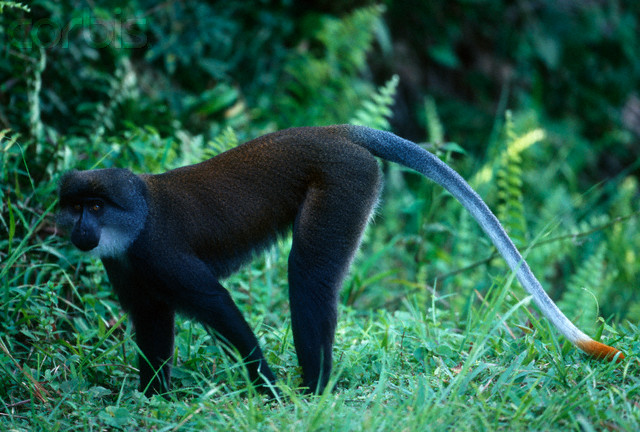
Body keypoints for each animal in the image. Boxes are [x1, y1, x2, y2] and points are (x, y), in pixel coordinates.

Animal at [56, 124, 624, 394]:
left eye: (96, 207)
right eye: (76, 206)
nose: (81, 229)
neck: (135, 219)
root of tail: (336, 132)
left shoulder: (160, 252)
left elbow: (216, 303)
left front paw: (268, 391)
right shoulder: (128, 268)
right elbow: (151, 322)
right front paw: (154, 398)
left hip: (345, 183)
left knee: (308, 277)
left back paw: (314, 391)